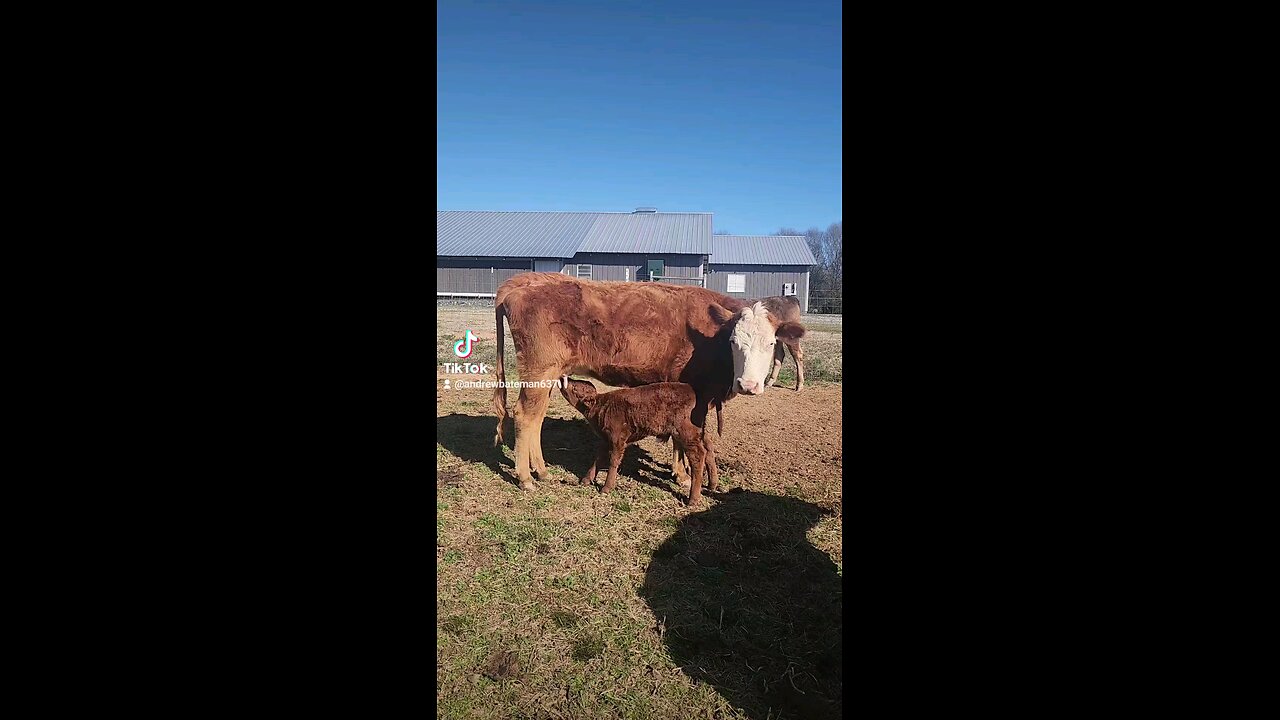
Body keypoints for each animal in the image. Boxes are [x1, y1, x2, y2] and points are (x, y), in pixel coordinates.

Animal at [563, 379, 721, 502]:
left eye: (575, 387)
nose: (565, 378)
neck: (602, 406)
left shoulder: (618, 439)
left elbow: (613, 461)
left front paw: (606, 488)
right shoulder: (605, 440)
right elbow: (598, 459)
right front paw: (585, 480)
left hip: (687, 434)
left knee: (698, 456)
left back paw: (693, 499)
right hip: (699, 432)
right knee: (708, 448)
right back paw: (712, 485)